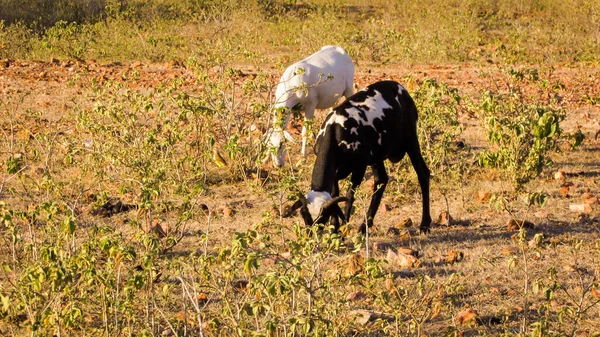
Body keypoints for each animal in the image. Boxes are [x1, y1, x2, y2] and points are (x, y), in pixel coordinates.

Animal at [286, 81, 432, 234]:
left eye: (322, 217)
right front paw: (335, 227)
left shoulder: (360, 167)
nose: (311, 234)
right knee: (381, 179)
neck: (336, 131)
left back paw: (425, 223)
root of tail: (399, 87)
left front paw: (343, 228)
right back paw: (365, 226)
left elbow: (350, 195)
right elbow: (335, 193)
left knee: (422, 173)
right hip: (377, 156)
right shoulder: (335, 172)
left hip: (410, 139)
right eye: (304, 215)